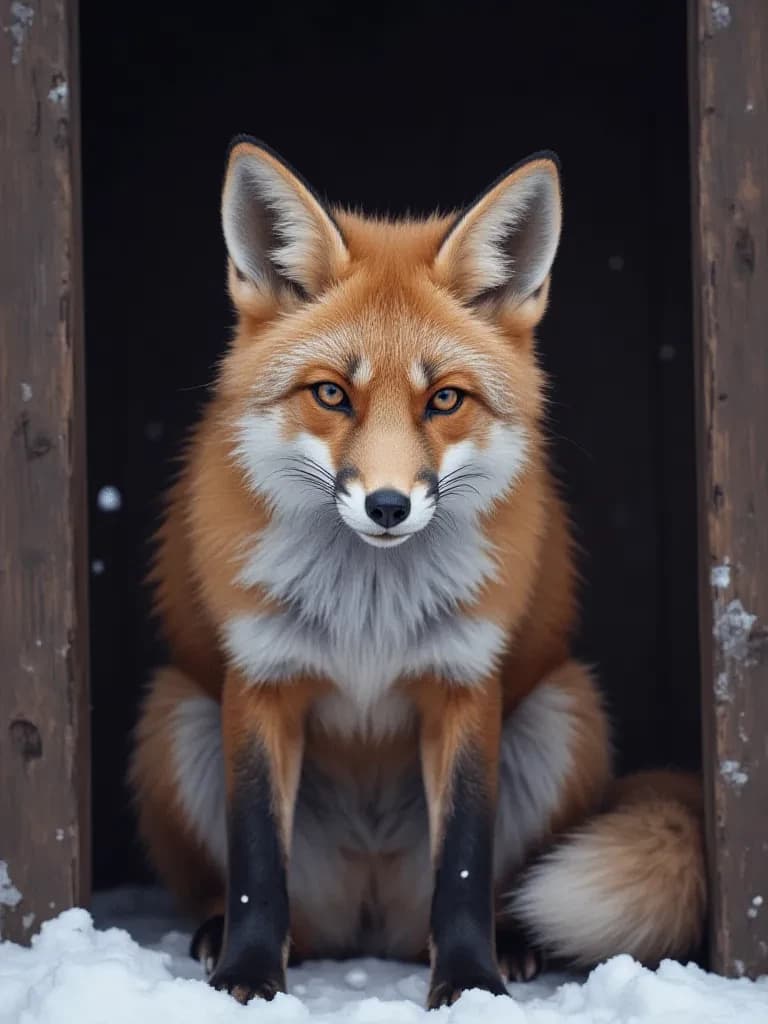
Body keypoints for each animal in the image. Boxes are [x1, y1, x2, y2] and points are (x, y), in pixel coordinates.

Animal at [130, 137, 707, 1008]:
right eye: (332, 393)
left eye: (444, 400)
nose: (389, 506)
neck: (370, 612)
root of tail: (368, 922)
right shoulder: (260, 682)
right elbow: (256, 862)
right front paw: (247, 977)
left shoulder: (464, 684)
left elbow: (463, 863)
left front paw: (469, 984)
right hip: (176, 715)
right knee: (259, 894)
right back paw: (225, 936)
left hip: (566, 711)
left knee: (484, 890)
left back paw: (510, 943)